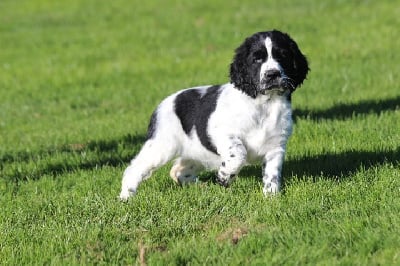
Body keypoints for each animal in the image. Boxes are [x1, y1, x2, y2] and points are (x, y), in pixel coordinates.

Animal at [119, 29, 310, 200]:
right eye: (257, 59)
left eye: (282, 56)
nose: (272, 74)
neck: (264, 105)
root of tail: (163, 104)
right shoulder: (222, 132)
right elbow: (238, 154)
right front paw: (224, 177)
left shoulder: (276, 146)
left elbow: (272, 174)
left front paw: (271, 198)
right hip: (162, 146)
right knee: (134, 168)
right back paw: (126, 197)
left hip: (196, 152)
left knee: (179, 170)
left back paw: (200, 188)